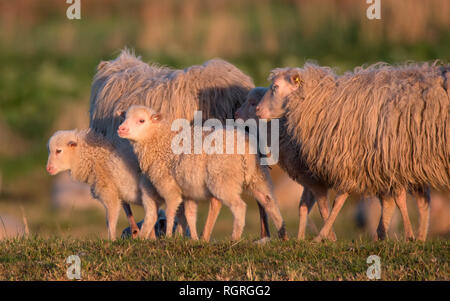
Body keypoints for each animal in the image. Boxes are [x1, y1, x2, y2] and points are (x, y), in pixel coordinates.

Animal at [256, 62, 450, 240]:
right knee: (423, 200)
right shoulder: (378, 162)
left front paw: (322, 237)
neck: (324, 101)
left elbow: (338, 200)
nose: (257, 110)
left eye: (275, 87)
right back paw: (419, 238)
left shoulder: (364, 161)